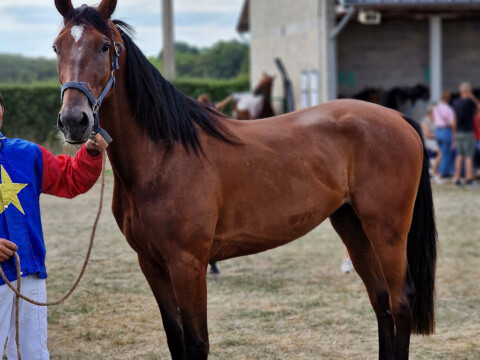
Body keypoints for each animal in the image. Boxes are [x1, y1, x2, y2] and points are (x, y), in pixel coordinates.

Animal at [54, 1, 436, 358]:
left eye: (105, 46)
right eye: (58, 46)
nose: (74, 121)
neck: (162, 156)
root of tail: (399, 119)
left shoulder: (187, 264)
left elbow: (196, 342)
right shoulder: (151, 263)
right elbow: (175, 338)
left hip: (387, 233)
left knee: (401, 302)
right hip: (353, 226)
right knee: (381, 303)